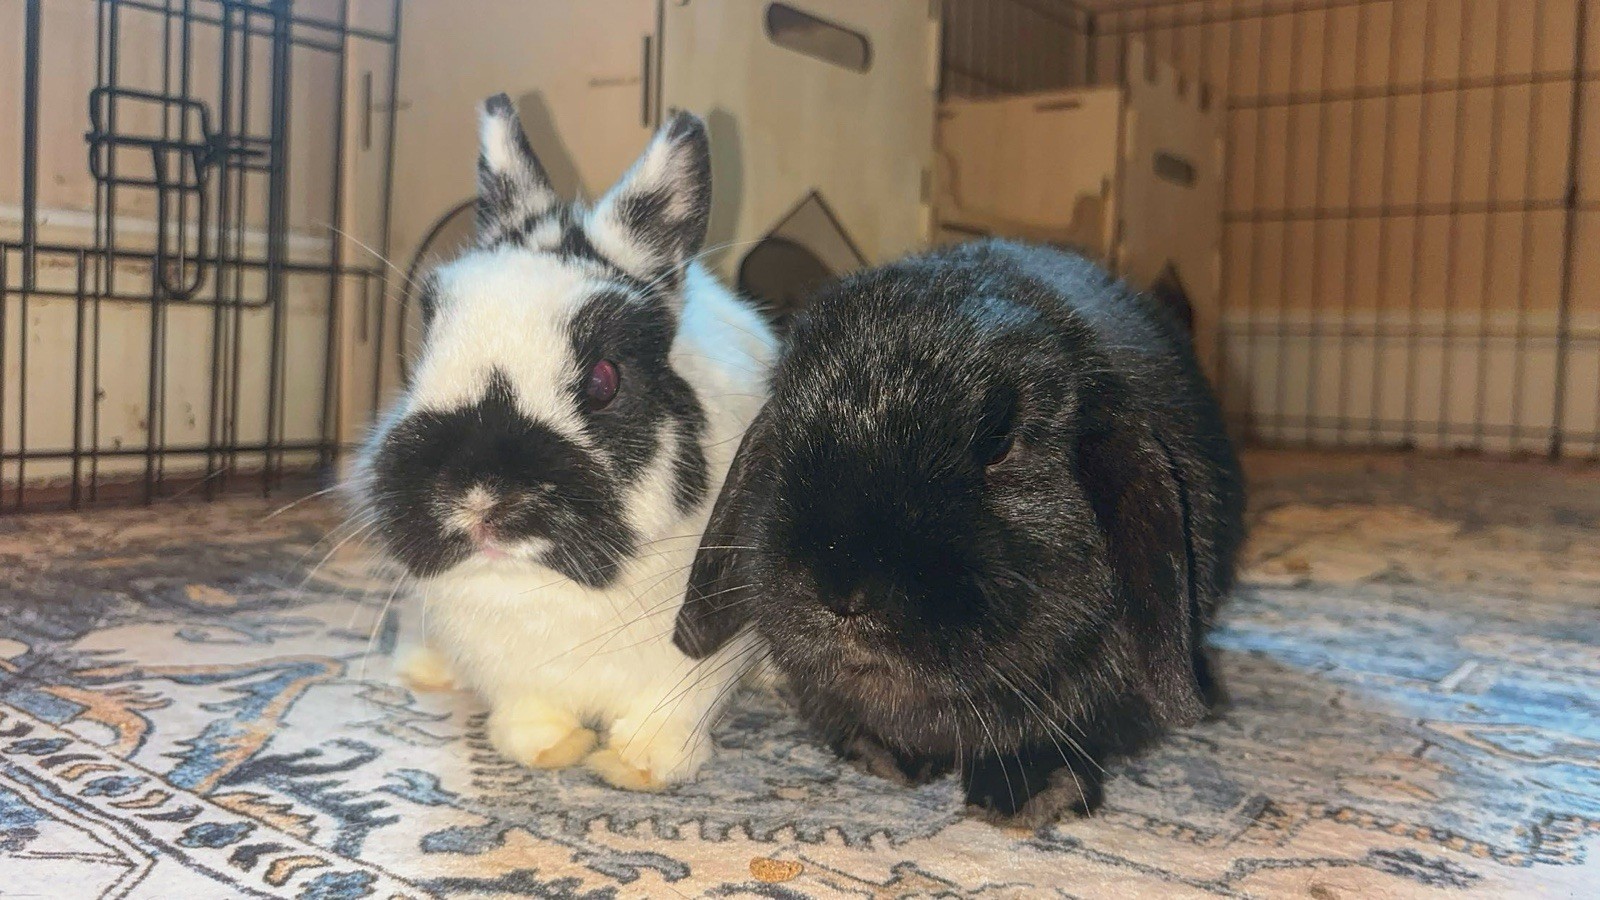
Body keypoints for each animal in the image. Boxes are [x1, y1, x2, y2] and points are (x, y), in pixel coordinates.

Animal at [347, 95, 777, 791]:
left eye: (604, 380)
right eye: (425, 352)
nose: (479, 497)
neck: (542, 587)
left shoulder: (695, 657)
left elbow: (667, 715)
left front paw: (638, 768)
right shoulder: (512, 669)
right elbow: (530, 707)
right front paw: (545, 750)